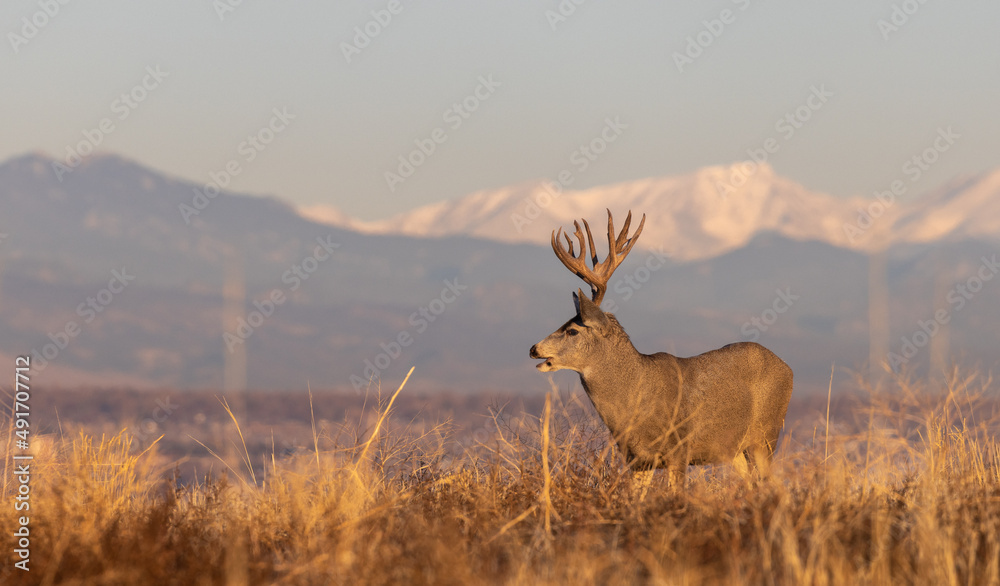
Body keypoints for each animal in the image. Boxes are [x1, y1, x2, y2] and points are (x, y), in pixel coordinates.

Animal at [529, 210, 793, 495]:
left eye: (572, 331)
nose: (534, 349)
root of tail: (788, 368)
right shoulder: (636, 460)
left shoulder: (680, 449)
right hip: (735, 450)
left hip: (766, 435)